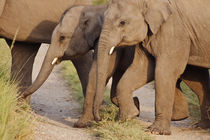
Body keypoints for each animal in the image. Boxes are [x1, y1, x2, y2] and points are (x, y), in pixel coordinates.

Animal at [20, 3, 206, 129]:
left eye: (62, 38)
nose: (20, 96)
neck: (94, 9)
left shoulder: (116, 46)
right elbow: (99, 74)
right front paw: (84, 124)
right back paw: (182, 118)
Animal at [93, 0, 210, 136]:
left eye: (122, 22)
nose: (100, 118)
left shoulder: (173, 30)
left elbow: (163, 71)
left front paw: (155, 131)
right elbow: (142, 68)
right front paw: (127, 117)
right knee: (197, 79)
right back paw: (200, 126)